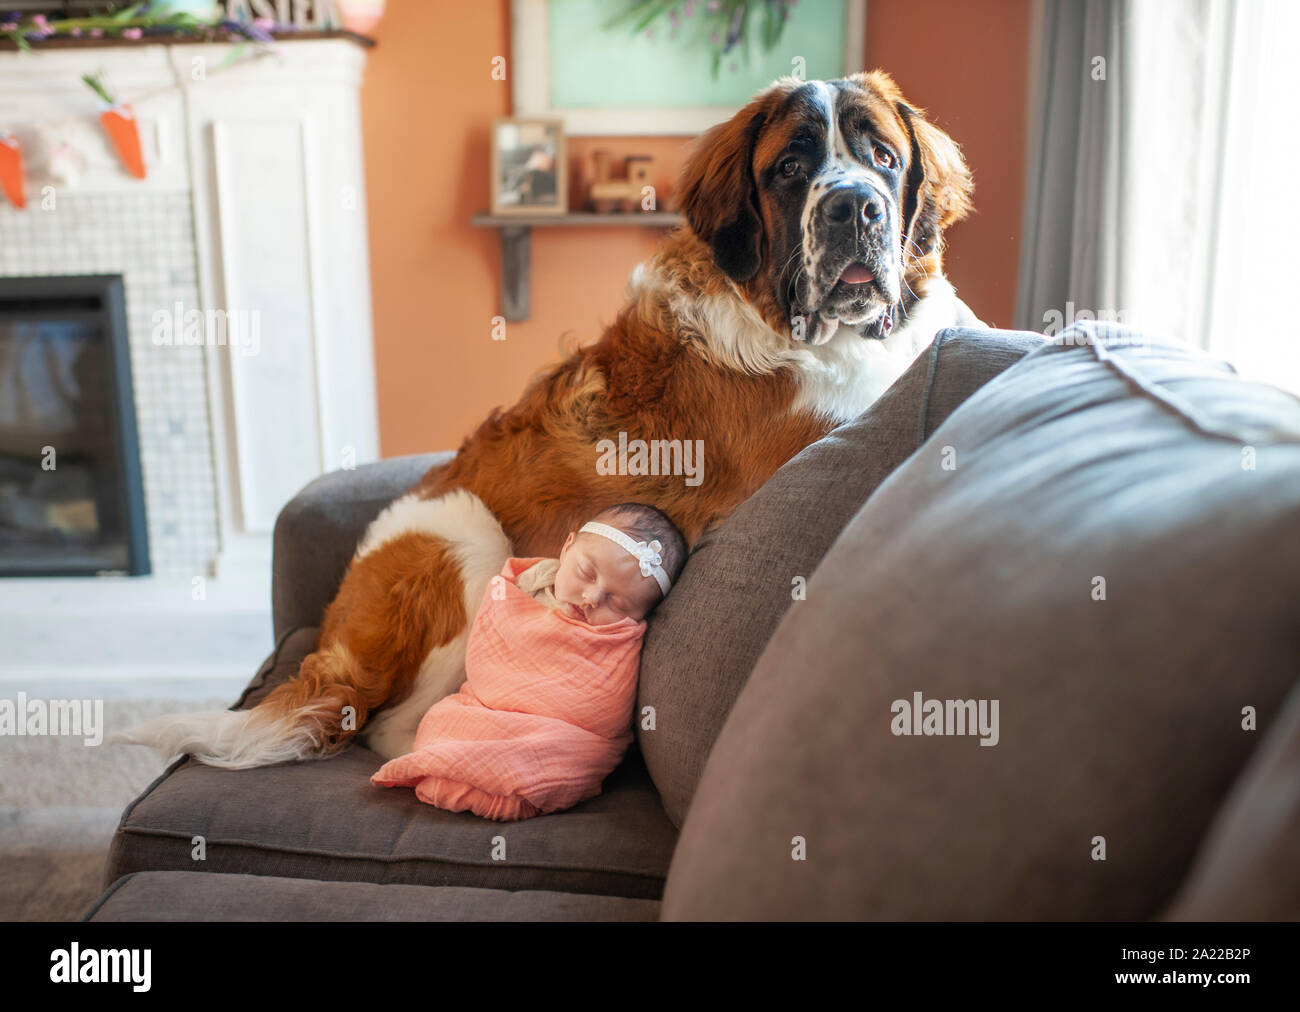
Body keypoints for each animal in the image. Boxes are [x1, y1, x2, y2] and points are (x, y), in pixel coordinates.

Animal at [116, 70, 977, 764]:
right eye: (792, 170)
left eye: (884, 159)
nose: (854, 208)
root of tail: (333, 633)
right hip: (466, 543)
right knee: (389, 727)